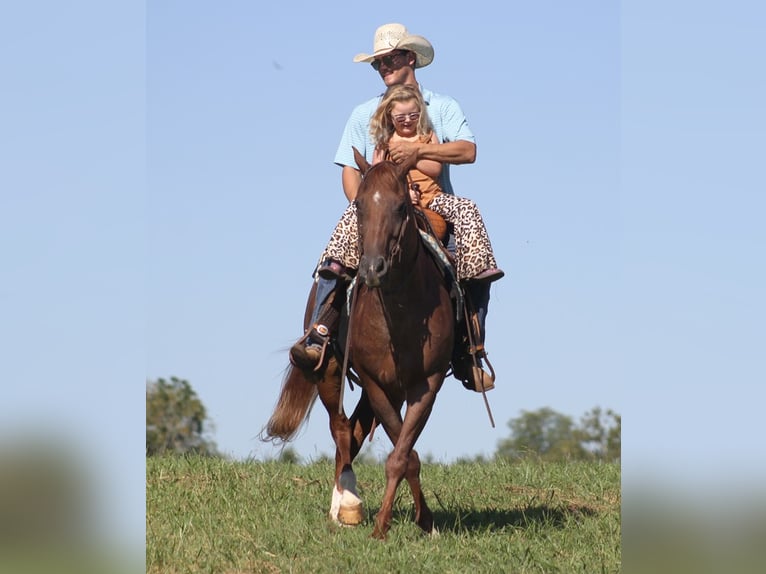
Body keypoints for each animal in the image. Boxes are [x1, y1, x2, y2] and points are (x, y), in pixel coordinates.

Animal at [264, 147, 456, 540]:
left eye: (400, 206)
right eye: (360, 206)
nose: (371, 269)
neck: (400, 313)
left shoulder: (424, 385)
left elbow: (403, 454)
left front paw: (424, 522)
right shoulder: (374, 381)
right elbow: (404, 456)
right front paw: (381, 525)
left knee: (353, 431)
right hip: (329, 373)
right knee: (340, 430)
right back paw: (346, 504)